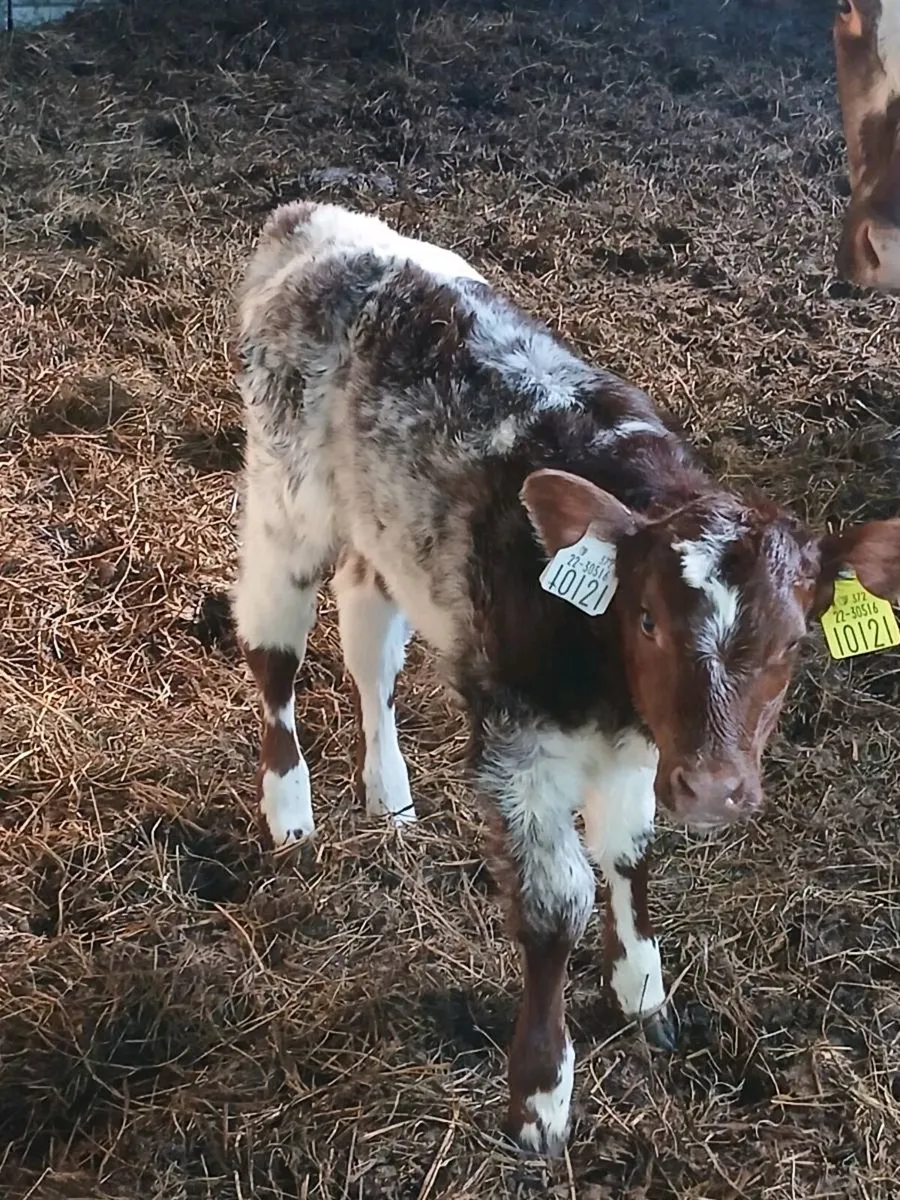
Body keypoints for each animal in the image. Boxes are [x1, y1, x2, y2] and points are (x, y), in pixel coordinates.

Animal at [230, 201, 900, 1155]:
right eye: (648, 619)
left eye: (794, 644)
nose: (716, 788)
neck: (607, 688)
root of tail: (316, 221)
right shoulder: (520, 743)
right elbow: (556, 905)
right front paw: (541, 1095)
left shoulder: (640, 748)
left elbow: (629, 854)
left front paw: (644, 995)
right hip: (287, 497)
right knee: (273, 647)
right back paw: (290, 812)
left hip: (383, 530)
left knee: (366, 627)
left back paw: (389, 795)